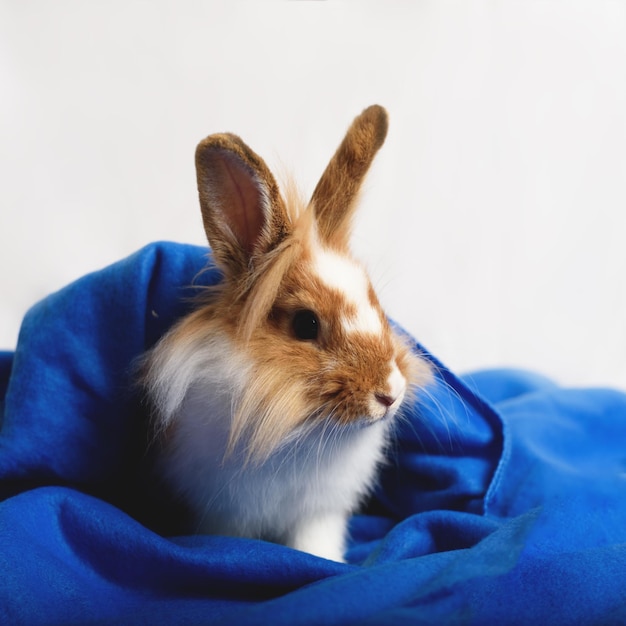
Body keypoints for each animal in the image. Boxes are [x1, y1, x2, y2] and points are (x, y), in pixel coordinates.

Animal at [143, 105, 428, 560]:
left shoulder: (320, 514)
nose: (389, 394)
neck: (299, 431)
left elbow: (314, 546)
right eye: (305, 324)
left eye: (376, 304)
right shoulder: (224, 511)